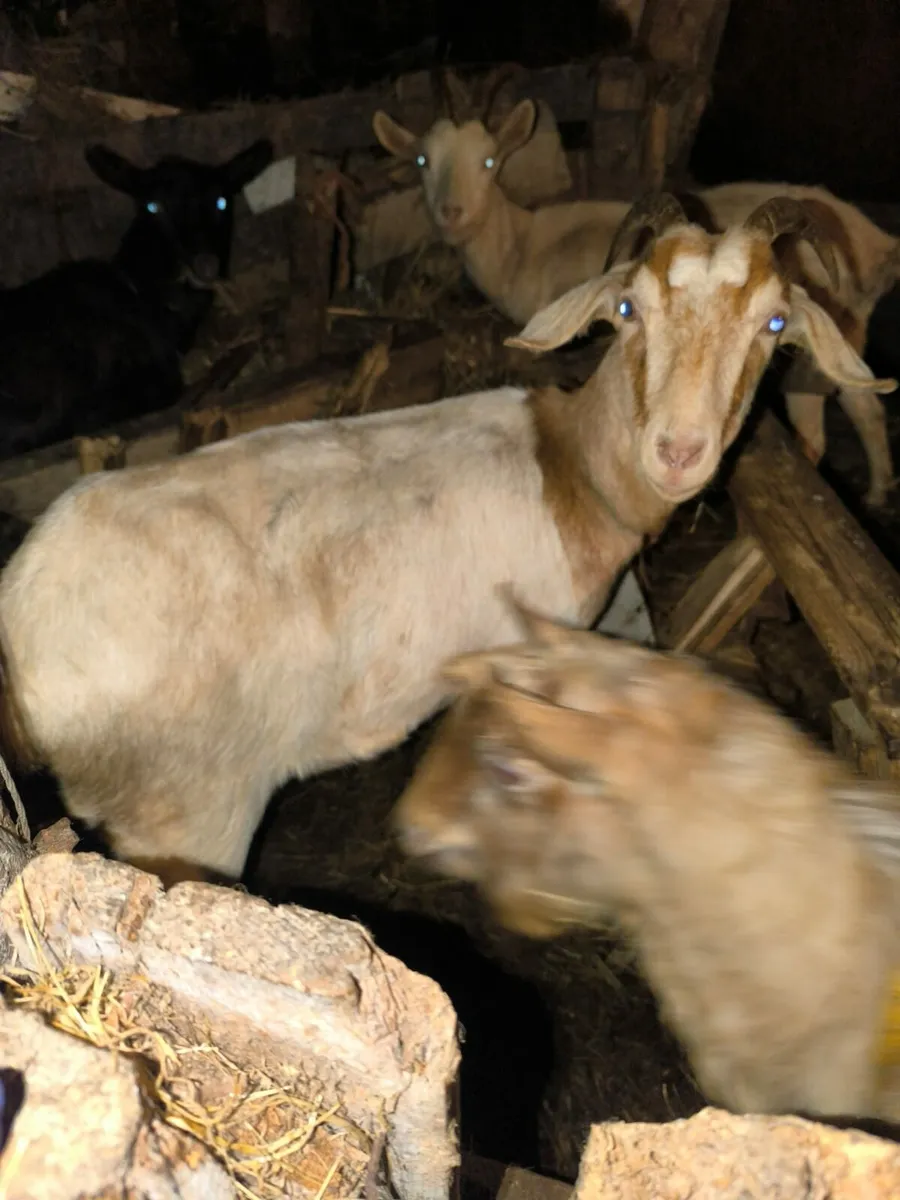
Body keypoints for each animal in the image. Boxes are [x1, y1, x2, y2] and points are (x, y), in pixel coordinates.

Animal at [0, 193, 891, 884]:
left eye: (775, 323)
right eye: (628, 308)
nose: (678, 451)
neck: (570, 468)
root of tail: (25, 617)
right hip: (186, 811)